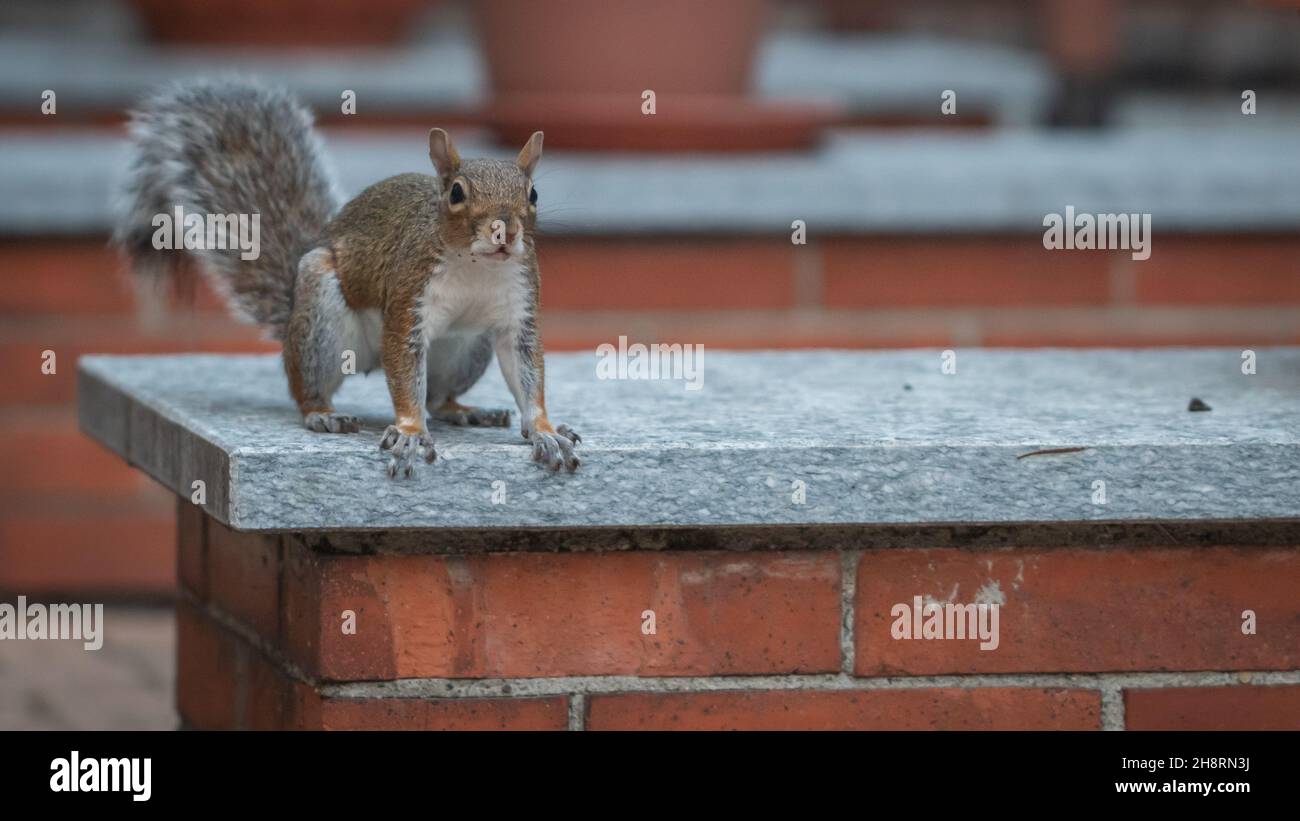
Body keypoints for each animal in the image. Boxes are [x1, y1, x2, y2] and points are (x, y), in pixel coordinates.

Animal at [114, 80, 582, 478]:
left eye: (533, 194)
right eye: (456, 193)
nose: (505, 231)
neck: (477, 266)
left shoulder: (518, 312)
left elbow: (528, 373)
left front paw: (545, 431)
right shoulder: (408, 298)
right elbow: (405, 371)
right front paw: (410, 433)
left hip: (468, 346)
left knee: (436, 396)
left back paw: (464, 409)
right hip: (320, 312)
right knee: (309, 387)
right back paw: (323, 414)